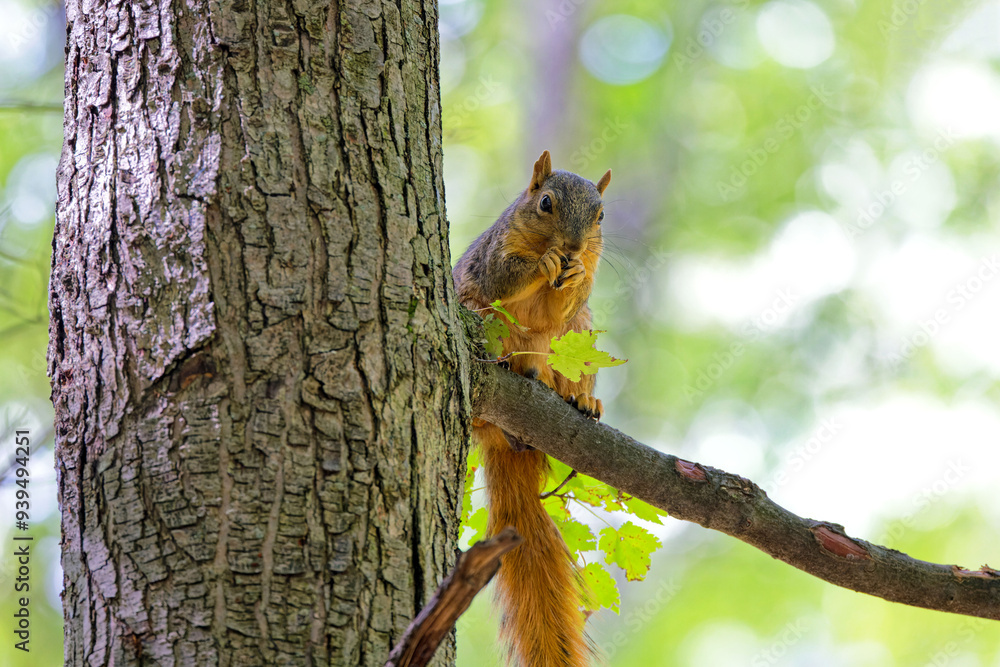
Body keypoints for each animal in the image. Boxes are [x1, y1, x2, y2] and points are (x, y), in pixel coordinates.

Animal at [453, 150, 611, 667]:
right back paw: (519, 367)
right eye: (545, 203)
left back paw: (580, 397)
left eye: (601, 215)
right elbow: (508, 277)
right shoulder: (493, 258)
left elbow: (553, 311)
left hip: (579, 337)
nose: (574, 246)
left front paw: (572, 273)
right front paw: (544, 262)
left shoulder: (577, 291)